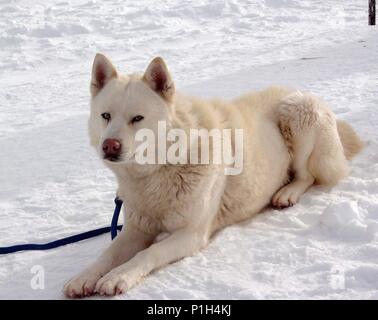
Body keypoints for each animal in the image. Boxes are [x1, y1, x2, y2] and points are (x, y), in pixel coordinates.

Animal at [62, 53, 364, 296]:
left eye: (137, 118)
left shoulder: (191, 234)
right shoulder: (137, 229)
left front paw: (118, 277)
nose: (109, 146)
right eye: (105, 116)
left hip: (297, 114)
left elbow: (149, 252)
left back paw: (286, 193)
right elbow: (107, 254)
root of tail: (299, 91)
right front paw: (84, 277)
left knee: (307, 176)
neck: (160, 171)